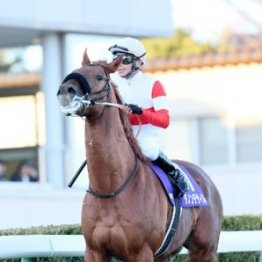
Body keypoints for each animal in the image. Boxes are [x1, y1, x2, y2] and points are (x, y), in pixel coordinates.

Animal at [57, 50, 223, 260]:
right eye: (76, 70)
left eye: (99, 77)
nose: (65, 90)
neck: (110, 189)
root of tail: (206, 179)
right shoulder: (94, 250)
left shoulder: (142, 251)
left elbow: (163, 115)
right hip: (166, 254)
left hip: (205, 249)